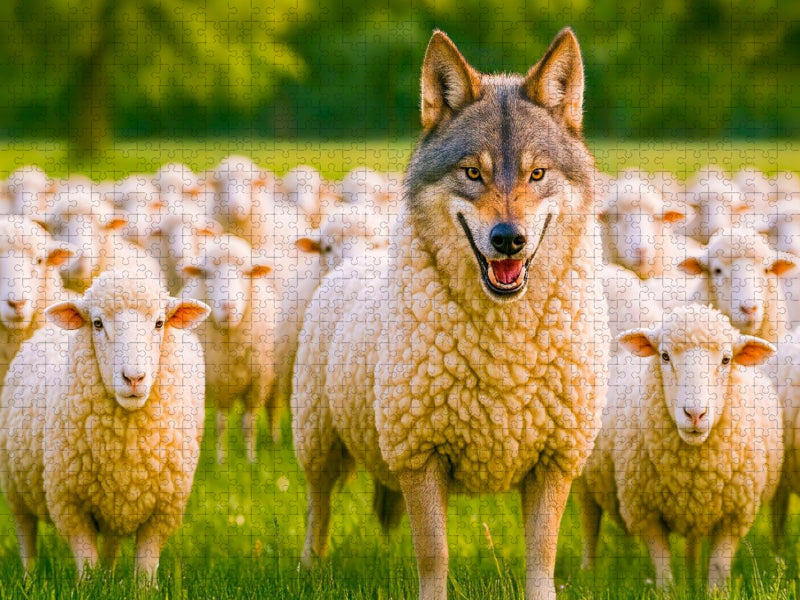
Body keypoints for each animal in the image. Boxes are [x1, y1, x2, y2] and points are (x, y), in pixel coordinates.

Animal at [292, 27, 609, 600]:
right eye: (472, 173)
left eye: (537, 174)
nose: (508, 240)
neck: (505, 345)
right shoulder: (420, 455)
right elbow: (434, 555)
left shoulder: (554, 462)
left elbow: (541, 560)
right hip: (319, 444)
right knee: (317, 509)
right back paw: (310, 569)